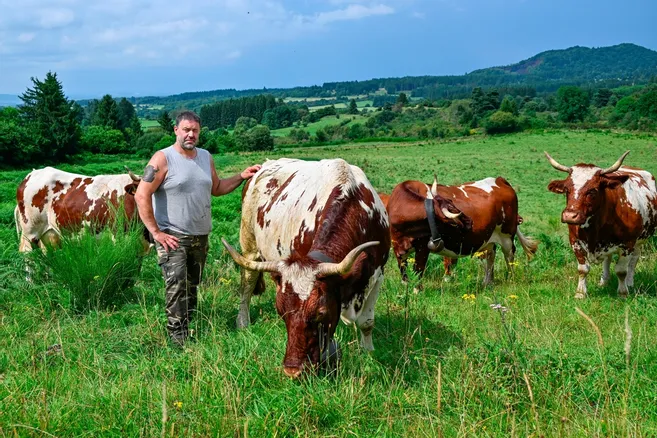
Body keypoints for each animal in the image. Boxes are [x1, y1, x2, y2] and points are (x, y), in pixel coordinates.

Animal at [222, 157, 390, 376]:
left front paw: (368, 353)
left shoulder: (378, 276)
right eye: (281, 312)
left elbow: (367, 323)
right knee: (247, 284)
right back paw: (243, 322)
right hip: (249, 246)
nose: (292, 370)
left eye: (320, 313)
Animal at [386, 176, 536, 286]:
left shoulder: (423, 247)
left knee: (509, 256)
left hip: (507, 236)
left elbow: (419, 270)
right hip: (488, 239)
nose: (470, 222)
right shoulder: (397, 247)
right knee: (491, 255)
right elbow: (403, 270)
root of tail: (499, 180)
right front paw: (405, 288)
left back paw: (511, 279)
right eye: (453, 212)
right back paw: (487, 282)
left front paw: (417, 291)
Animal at [544, 150, 656, 298]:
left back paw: (630, 282)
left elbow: (621, 270)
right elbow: (583, 269)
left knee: (633, 261)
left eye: (592, 190)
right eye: (567, 190)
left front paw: (623, 293)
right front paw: (580, 293)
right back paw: (604, 281)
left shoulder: (628, 244)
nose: (570, 216)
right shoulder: (574, 241)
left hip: (640, 241)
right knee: (607, 259)